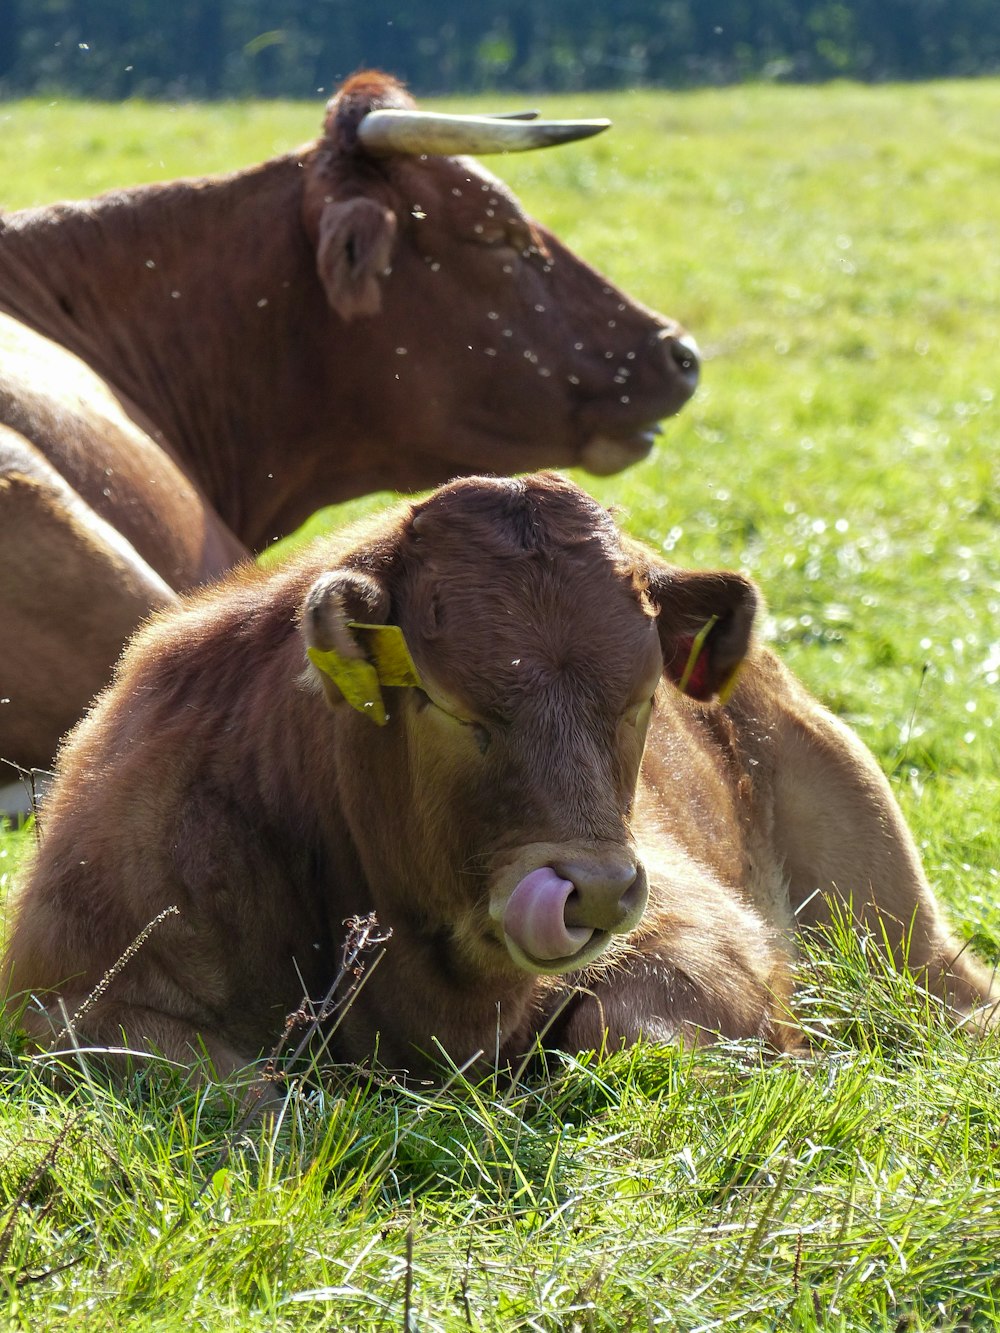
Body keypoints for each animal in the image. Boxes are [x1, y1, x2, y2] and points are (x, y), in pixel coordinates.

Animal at [5, 471, 997, 1082]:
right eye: (449, 704)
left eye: (641, 697)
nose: (593, 890)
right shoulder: (72, 1001)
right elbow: (247, 1089)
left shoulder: (707, 937)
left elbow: (623, 1024)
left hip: (902, 932)